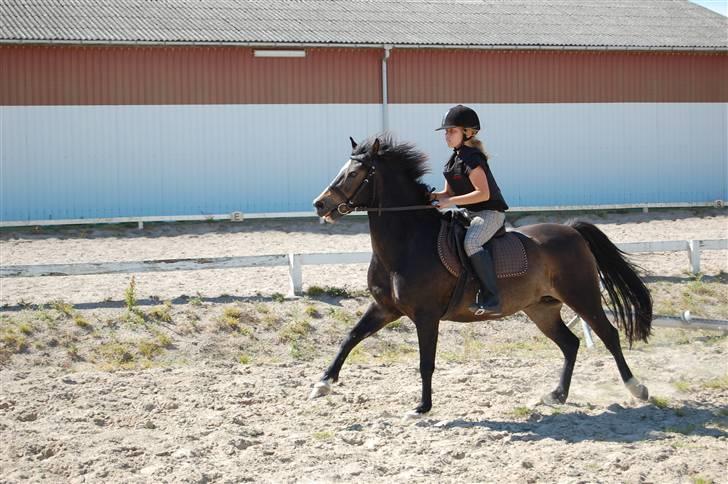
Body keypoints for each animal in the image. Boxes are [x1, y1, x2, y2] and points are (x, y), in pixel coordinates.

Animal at [310, 134, 652, 417]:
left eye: (354, 174)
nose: (320, 205)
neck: (406, 243)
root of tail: (571, 230)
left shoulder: (425, 315)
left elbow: (425, 362)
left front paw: (422, 408)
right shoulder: (385, 308)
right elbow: (350, 337)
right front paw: (322, 384)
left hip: (582, 296)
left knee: (608, 334)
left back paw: (637, 388)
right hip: (541, 308)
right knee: (570, 344)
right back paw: (556, 395)